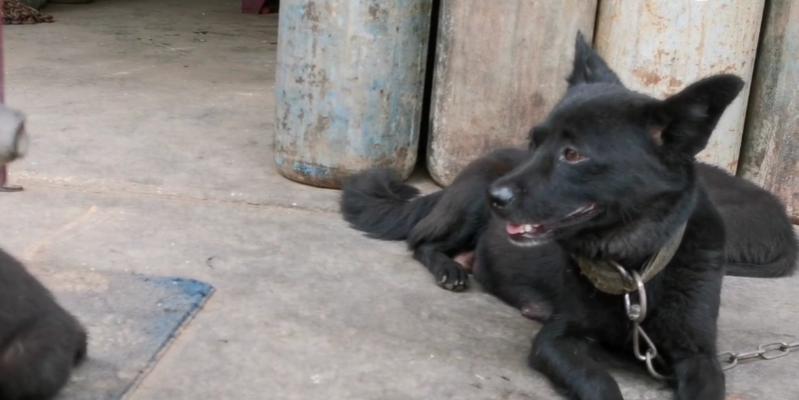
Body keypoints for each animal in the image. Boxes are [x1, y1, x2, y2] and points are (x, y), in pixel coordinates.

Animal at [340, 35, 796, 400]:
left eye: (573, 154)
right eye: (535, 141)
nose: (496, 198)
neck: (633, 267)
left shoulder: (699, 355)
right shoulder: (558, 340)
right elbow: (601, 386)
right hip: (466, 205)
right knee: (421, 240)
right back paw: (449, 269)